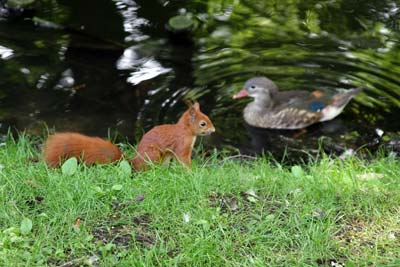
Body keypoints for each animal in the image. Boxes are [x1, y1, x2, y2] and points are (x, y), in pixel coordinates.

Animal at [43, 101, 216, 171]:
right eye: (203, 123)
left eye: (208, 118)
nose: (213, 130)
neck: (186, 130)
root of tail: (134, 163)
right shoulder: (182, 144)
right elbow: (183, 159)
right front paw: (192, 172)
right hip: (154, 155)